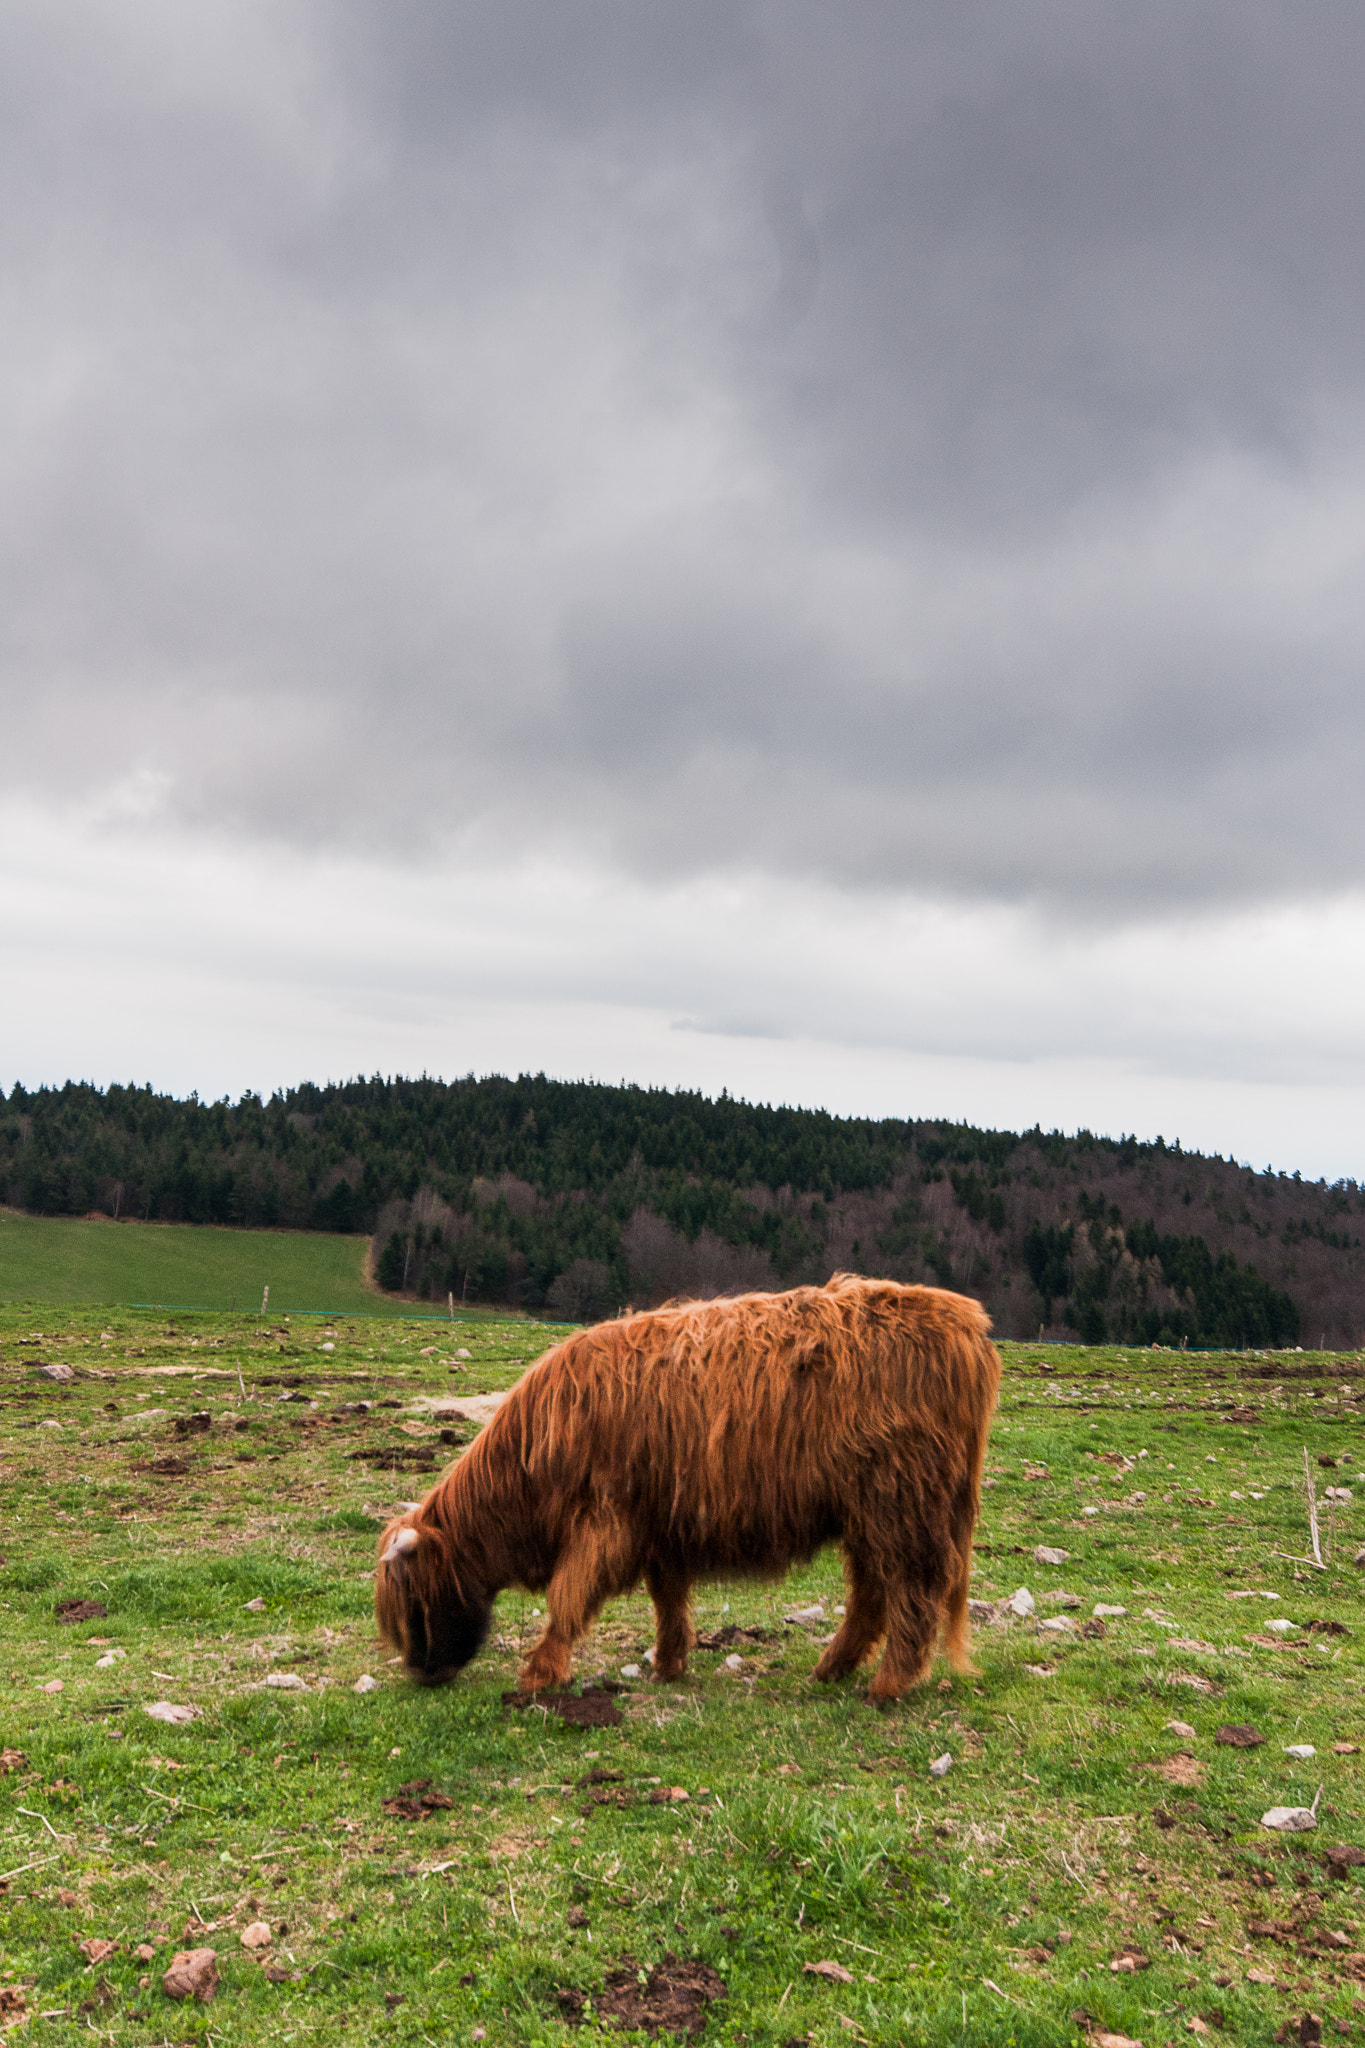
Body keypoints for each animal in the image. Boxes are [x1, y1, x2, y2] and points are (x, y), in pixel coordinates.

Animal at [374, 1277, 1002, 1695]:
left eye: (416, 1601)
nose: (423, 1673)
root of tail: (963, 1320)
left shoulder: (604, 1522)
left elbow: (569, 1597)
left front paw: (540, 1672)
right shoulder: (659, 1526)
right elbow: (668, 1597)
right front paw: (669, 1663)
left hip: (900, 1501)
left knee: (913, 1588)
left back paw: (889, 1685)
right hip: (867, 1512)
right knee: (872, 1591)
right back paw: (830, 1670)